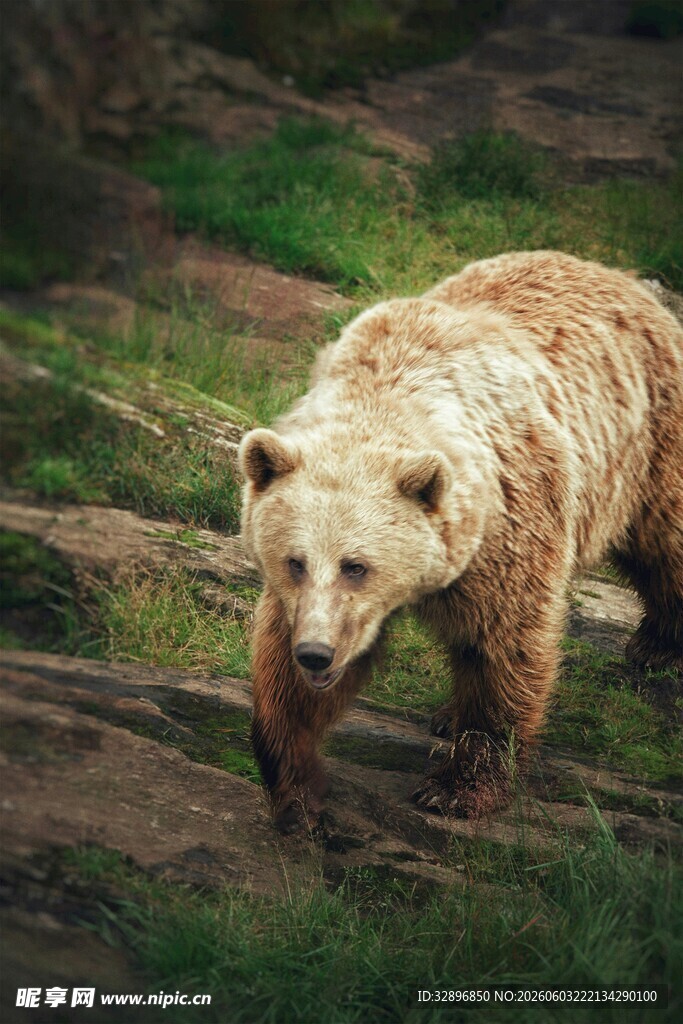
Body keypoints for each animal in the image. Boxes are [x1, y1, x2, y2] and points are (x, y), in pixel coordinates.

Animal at [238, 250, 683, 833]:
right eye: (295, 562)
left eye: (357, 566)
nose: (316, 654)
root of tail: (625, 278)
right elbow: (283, 676)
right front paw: (297, 789)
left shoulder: (509, 522)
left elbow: (503, 647)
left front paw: (456, 789)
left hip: (648, 445)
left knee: (665, 540)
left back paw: (657, 643)